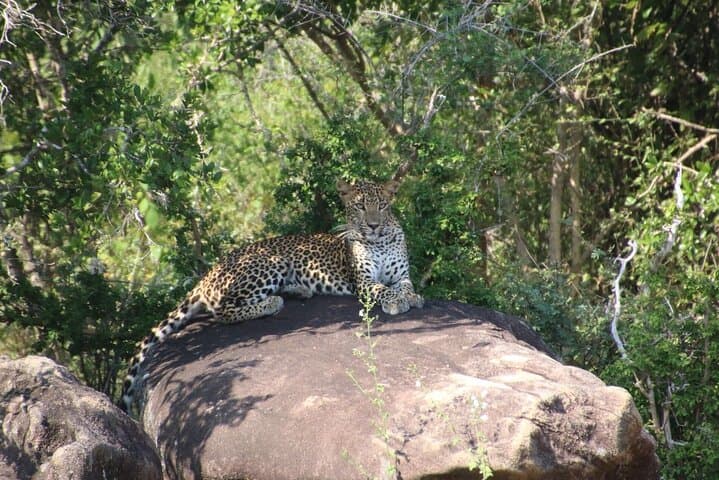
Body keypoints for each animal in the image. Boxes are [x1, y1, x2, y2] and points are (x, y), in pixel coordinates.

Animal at [120, 178, 424, 413]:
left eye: (382, 205)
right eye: (359, 206)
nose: (373, 225)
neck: (380, 241)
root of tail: (207, 273)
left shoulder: (402, 275)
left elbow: (405, 286)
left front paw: (412, 298)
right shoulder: (363, 282)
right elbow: (382, 290)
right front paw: (396, 301)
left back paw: (299, 289)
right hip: (268, 263)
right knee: (222, 311)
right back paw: (272, 302)